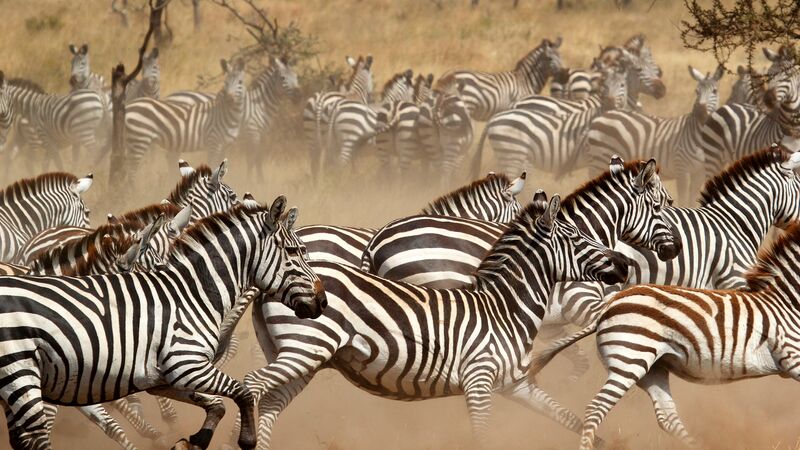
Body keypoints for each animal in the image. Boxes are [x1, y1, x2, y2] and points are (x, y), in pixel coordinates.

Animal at [0, 196, 325, 450]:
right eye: (294, 252)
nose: (323, 302)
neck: (190, 294)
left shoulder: (163, 379)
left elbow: (216, 405)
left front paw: (192, 441)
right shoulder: (187, 365)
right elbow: (241, 393)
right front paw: (245, 440)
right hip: (21, 374)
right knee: (35, 438)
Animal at [230, 192, 631, 450]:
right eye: (576, 237)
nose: (624, 265)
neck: (504, 308)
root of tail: (268, 283)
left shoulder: (516, 384)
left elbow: (569, 418)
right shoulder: (479, 381)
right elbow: (482, 438)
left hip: (302, 358)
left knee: (268, 405)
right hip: (303, 349)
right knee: (250, 385)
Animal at [529, 220, 800, 450]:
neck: (786, 302)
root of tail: (609, 305)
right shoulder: (793, 358)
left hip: (653, 367)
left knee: (667, 417)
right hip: (629, 360)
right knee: (596, 408)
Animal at [583, 65, 724, 203]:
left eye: (715, 91)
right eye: (696, 91)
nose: (700, 113)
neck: (698, 136)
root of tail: (602, 116)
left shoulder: (698, 173)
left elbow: (692, 198)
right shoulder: (682, 170)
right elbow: (684, 198)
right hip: (600, 158)